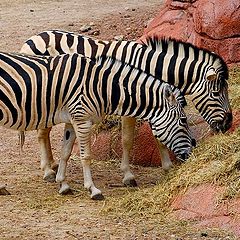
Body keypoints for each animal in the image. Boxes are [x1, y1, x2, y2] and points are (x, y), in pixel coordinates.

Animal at [0, 51, 194, 198]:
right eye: (183, 121)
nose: (191, 153)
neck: (101, 86)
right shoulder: (82, 120)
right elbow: (86, 156)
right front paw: (93, 189)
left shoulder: (72, 121)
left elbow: (65, 153)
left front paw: (63, 184)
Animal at [20, 30, 232, 186]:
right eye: (216, 93)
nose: (228, 124)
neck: (149, 68)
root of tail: (35, 36)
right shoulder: (131, 104)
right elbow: (128, 140)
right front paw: (128, 175)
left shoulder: (156, 102)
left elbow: (160, 137)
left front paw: (167, 167)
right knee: (42, 132)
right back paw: (47, 170)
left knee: (45, 131)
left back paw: (53, 165)